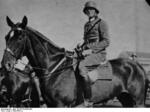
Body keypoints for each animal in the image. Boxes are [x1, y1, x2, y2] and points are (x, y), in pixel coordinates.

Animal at [1, 15, 148, 107]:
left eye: (20, 38)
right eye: (6, 37)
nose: (6, 64)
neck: (54, 68)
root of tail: (137, 66)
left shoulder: (61, 105)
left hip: (138, 102)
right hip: (126, 99)